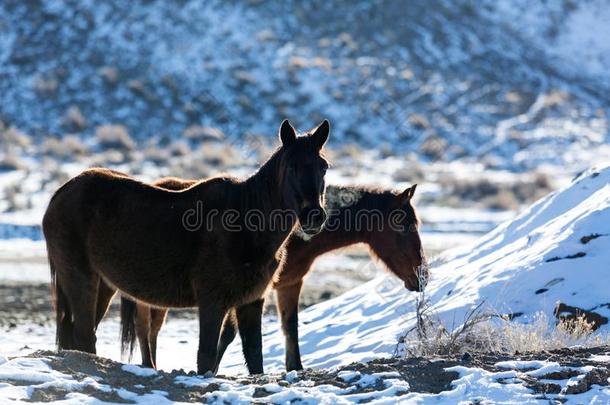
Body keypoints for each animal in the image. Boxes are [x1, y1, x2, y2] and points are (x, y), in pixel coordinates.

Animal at [43, 118, 330, 374]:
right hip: (81, 278)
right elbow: (206, 358)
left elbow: (255, 358)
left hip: (104, 285)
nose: (314, 216)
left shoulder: (252, 302)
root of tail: (58, 195)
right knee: (85, 337)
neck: (247, 223)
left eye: (323, 167)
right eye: (291, 167)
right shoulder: (212, 302)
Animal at [117, 181, 422, 370]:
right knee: (145, 327)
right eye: (404, 226)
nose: (422, 277)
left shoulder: (289, 284)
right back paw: (149, 365)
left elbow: (290, 326)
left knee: (151, 329)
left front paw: (294, 367)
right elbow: (229, 334)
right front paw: (212, 368)